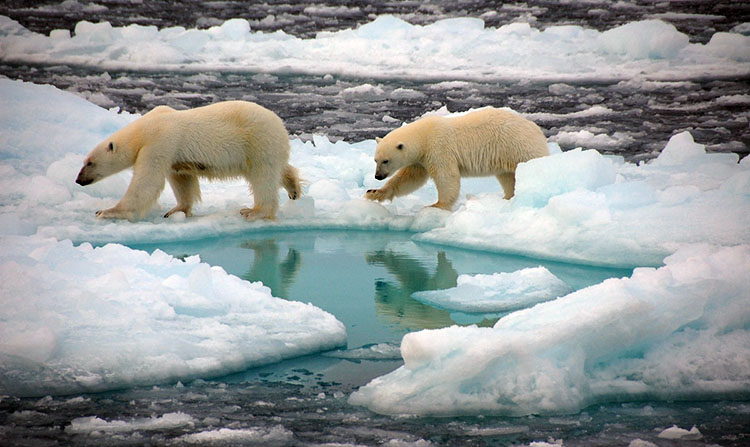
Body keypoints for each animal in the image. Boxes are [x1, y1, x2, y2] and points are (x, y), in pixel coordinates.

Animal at [75, 100, 302, 221]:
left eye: (90, 163)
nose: (78, 180)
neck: (144, 129)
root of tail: (280, 124)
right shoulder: (173, 154)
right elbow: (182, 179)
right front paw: (176, 210)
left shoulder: (160, 142)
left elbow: (146, 182)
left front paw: (106, 211)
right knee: (279, 169)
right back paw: (294, 188)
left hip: (258, 141)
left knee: (263, 176)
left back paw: (254, 211)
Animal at [366, 107, 548, 210]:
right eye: (375, 160)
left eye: (386, 160)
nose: (378, 176)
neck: (424, 136)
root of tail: (536, 129)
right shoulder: (421, 159)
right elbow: (409, 178)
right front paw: (374, 193)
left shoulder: (438, 148)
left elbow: (446, 177)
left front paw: (437, 205)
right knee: (507, 177)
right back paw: (508, 198)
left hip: (520, 147)